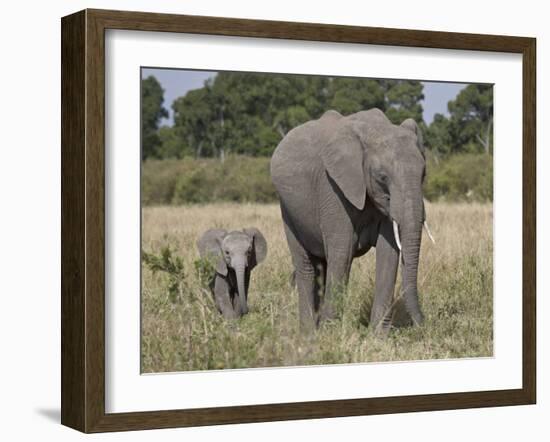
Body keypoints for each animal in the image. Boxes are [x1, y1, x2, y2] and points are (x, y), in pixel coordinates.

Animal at [272, 109, 436, 334]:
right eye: (382, 177)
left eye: (424, 174)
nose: (423, 324)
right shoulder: (332, 188)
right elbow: (342, 252)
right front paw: (330, 335)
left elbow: (388, 253)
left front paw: (378, 336)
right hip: (288, 210)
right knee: (307, 266)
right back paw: (308, 333)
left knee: (322, 266)